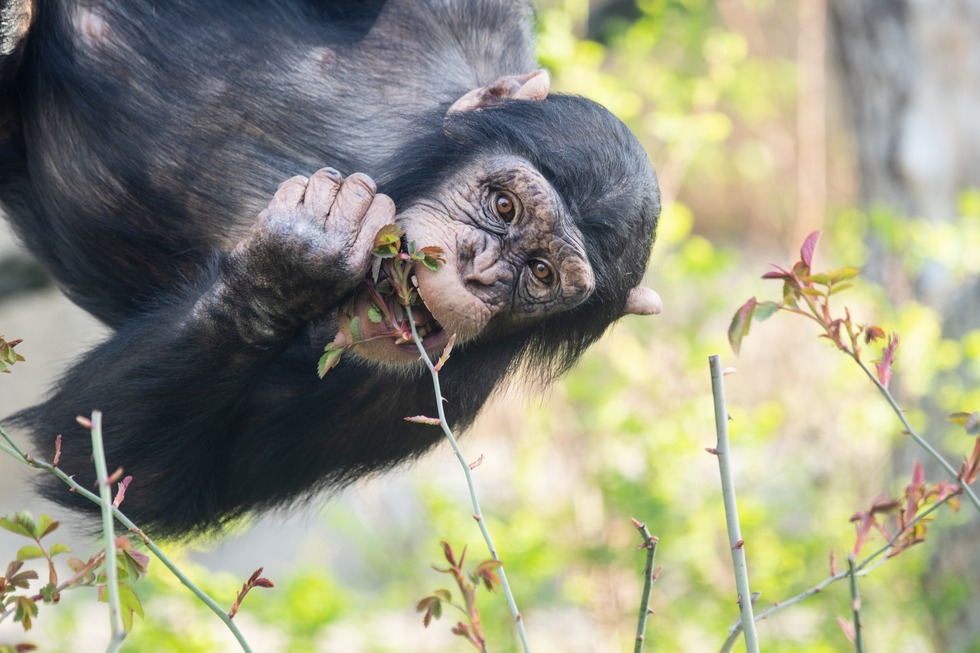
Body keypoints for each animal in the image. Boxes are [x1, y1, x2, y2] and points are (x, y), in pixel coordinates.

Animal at [0, 0, 664, 536]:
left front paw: (292, 264)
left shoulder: (433, 403)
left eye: (543, 274)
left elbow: (120, 471)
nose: (482, 273)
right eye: (505, 206)